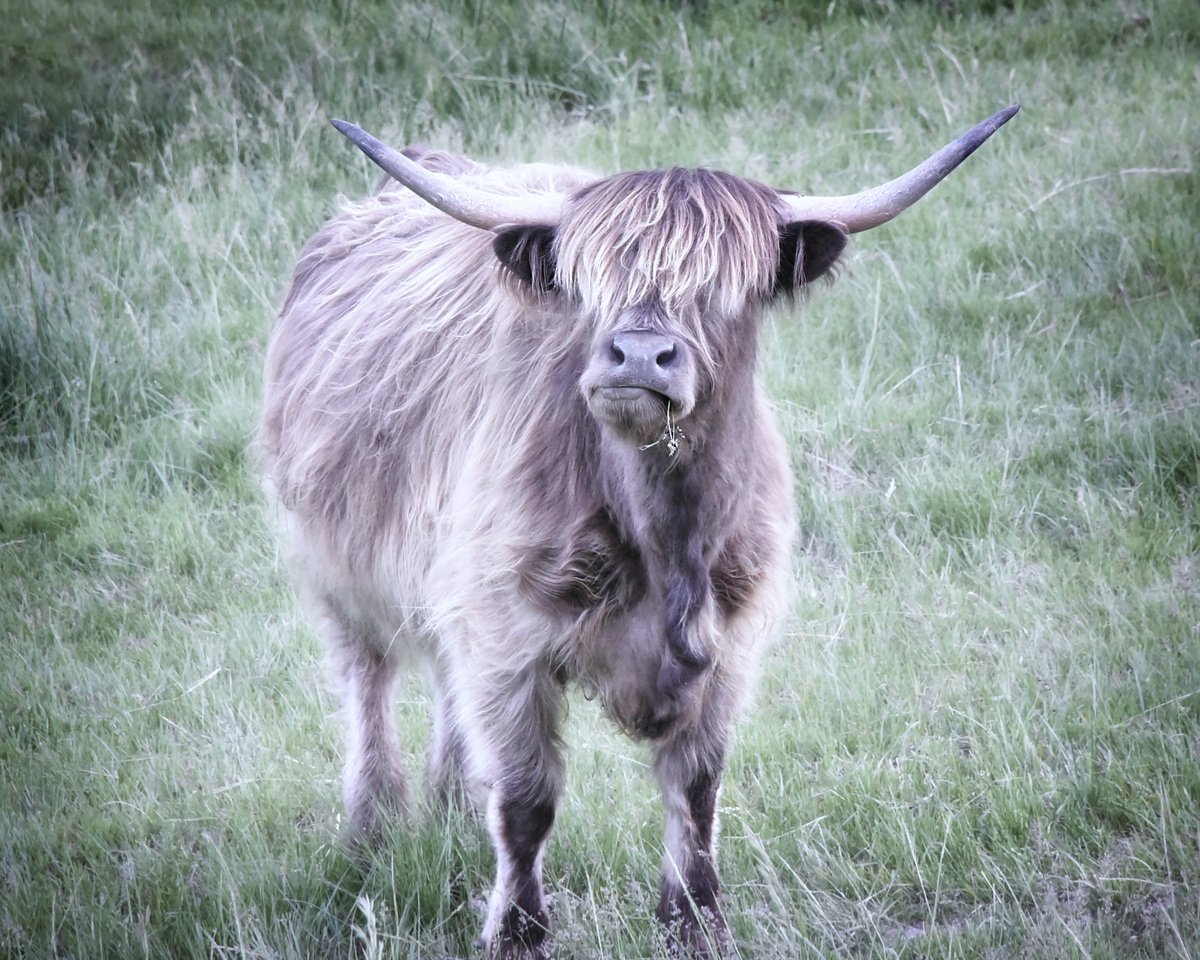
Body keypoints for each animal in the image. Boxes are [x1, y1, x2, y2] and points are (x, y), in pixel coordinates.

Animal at [260, 104, 1018, 959]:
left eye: (722, 291)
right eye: (592, 284)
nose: (637, 357)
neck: (668, 538)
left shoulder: (728, 644)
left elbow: (696, 788)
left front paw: (697, 923)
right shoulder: (507, 634)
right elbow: (526, 800)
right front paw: (517, 932)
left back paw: (450, 812)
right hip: (339, 573)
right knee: (370, 684)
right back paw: (373, 833)